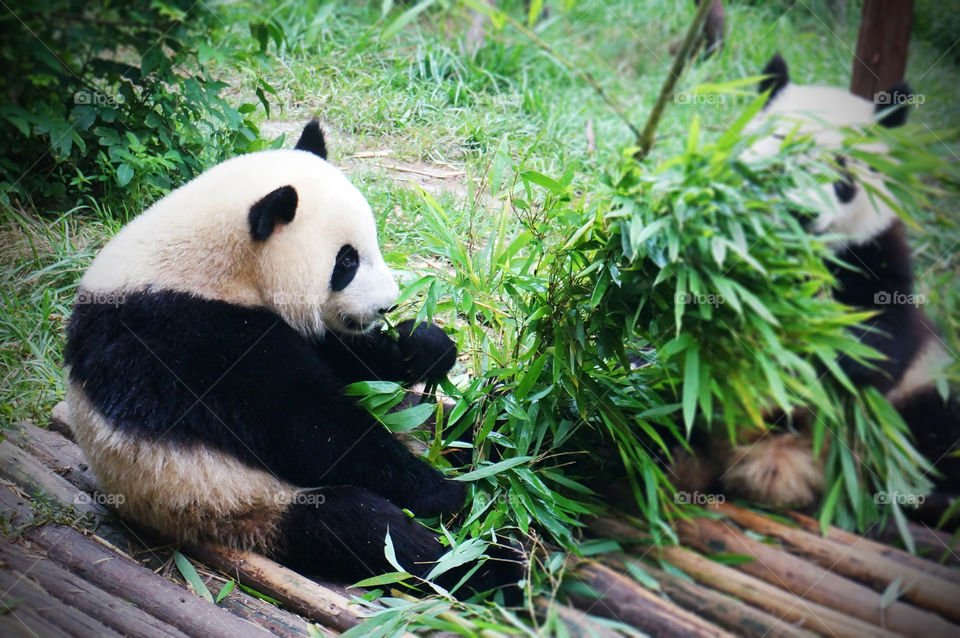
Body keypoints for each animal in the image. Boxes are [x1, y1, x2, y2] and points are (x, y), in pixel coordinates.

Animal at [64, 120, 522, 600]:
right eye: (346, 260)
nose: (386, 306)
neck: (209, 262)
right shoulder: (188, 336)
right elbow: (306, 426)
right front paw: (442, 492)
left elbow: (342, 357)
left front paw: (424, 347)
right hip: (230, 501)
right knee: (365, 529)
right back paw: (490, 568)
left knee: (460, 425)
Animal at [688, 55, 959, 510]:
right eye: (782, 151)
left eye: (841, 173)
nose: (801, 211)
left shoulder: (874, 252)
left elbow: (879, 340)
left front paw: (809, 351)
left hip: (927, 381)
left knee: (935, 426)